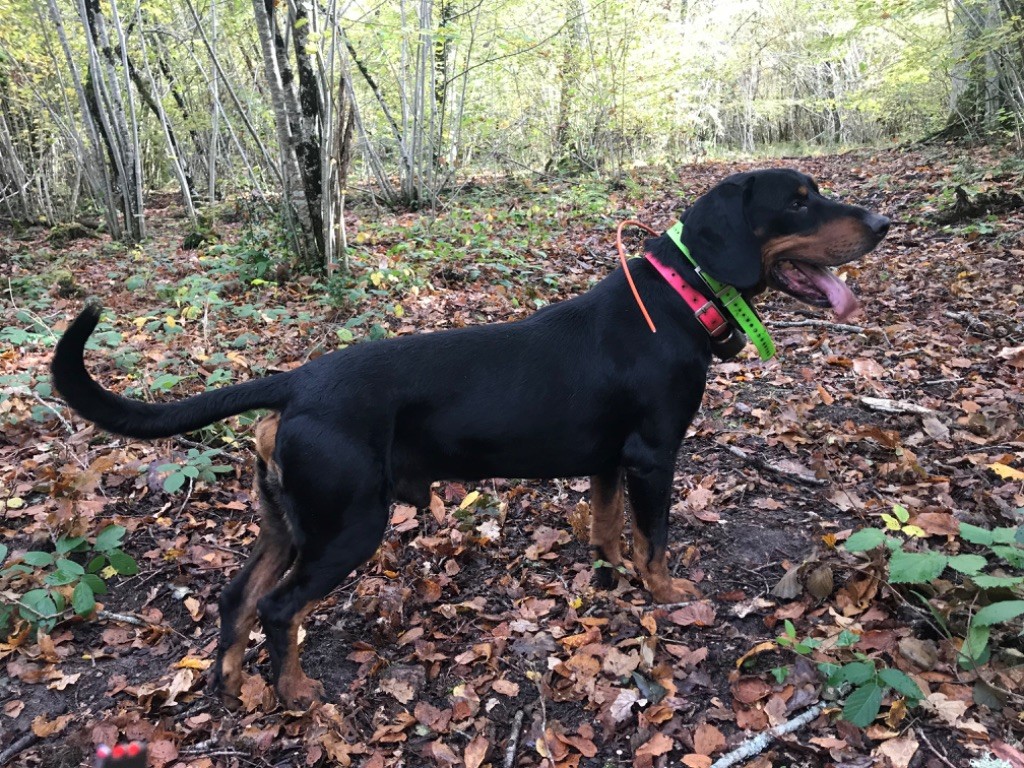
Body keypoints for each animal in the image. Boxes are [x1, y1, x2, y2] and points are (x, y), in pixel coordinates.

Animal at [51, 169, 888, 708]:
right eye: (800, 201)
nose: (883, 225)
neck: (677, 300)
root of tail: (297, 382)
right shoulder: (654, 456)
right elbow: (654, 539)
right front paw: (668, 595)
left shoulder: (609, 462)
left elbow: (608, 527)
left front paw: (611, 576)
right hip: (349, 525)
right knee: (283, 610)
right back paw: (294, 692)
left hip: (288, 523)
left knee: (239, 599)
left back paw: (229, 683)